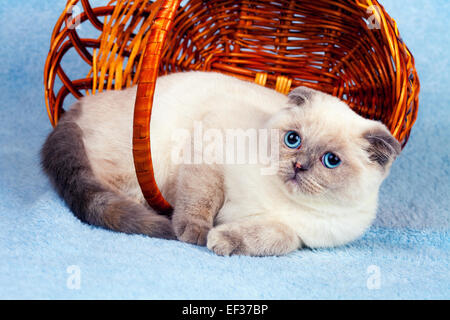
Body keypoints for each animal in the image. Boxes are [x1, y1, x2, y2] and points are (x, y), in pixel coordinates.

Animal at [42, 71, 400, 256]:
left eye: (331, 160)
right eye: (293, 140)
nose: (299, 166)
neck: (280, 201)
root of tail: (82, 103)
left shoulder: (298, 238)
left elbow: (269, 238)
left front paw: (222, 240)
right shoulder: (209, 150)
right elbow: (201, 201)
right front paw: (197, 233)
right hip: (138, 165)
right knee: (106, 192)